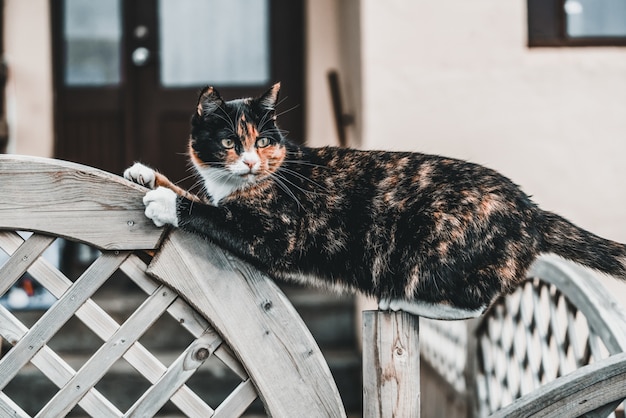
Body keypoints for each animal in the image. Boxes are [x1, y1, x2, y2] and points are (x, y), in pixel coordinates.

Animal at [124, 84, 624, 320]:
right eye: (229, 141)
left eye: (263, 140)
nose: (249, 162)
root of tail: (531, 209)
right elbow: (195, 192)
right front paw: (146, 175)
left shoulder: (273, 234)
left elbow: (209, 213)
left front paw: (165, 204)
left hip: (434, 245)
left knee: (473, 302)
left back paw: (401, 303)